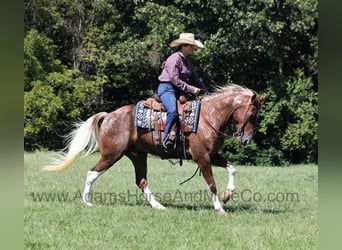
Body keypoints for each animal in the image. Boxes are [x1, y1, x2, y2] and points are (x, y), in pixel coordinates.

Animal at [41, 84, 264, 213]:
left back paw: (158, 205)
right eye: (252, 114)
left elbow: (232, 168)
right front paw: (219, 207)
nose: (246, 140)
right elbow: (211, 184)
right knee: (92, 172)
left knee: (141, 181)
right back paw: (86, 201)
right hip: (112, 155)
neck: (207, 117)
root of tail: (109, 115)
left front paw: (228, 195)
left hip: (138, 155)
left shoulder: (213, 155)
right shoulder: (202, 157)